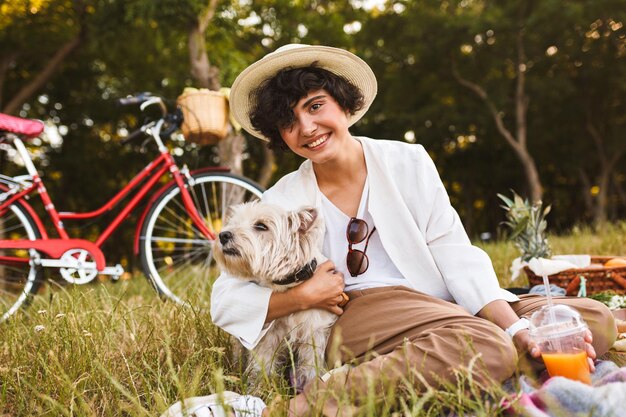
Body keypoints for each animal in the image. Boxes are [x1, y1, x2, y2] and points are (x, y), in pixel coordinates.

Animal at [212, 202, 336, 386]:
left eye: (261, 226)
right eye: (235, 222)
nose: (223, 235)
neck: (288, 283)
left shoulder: (314, 335)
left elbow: (311, 367)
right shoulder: (268, 339)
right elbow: (262, 368)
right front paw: (260, 389)